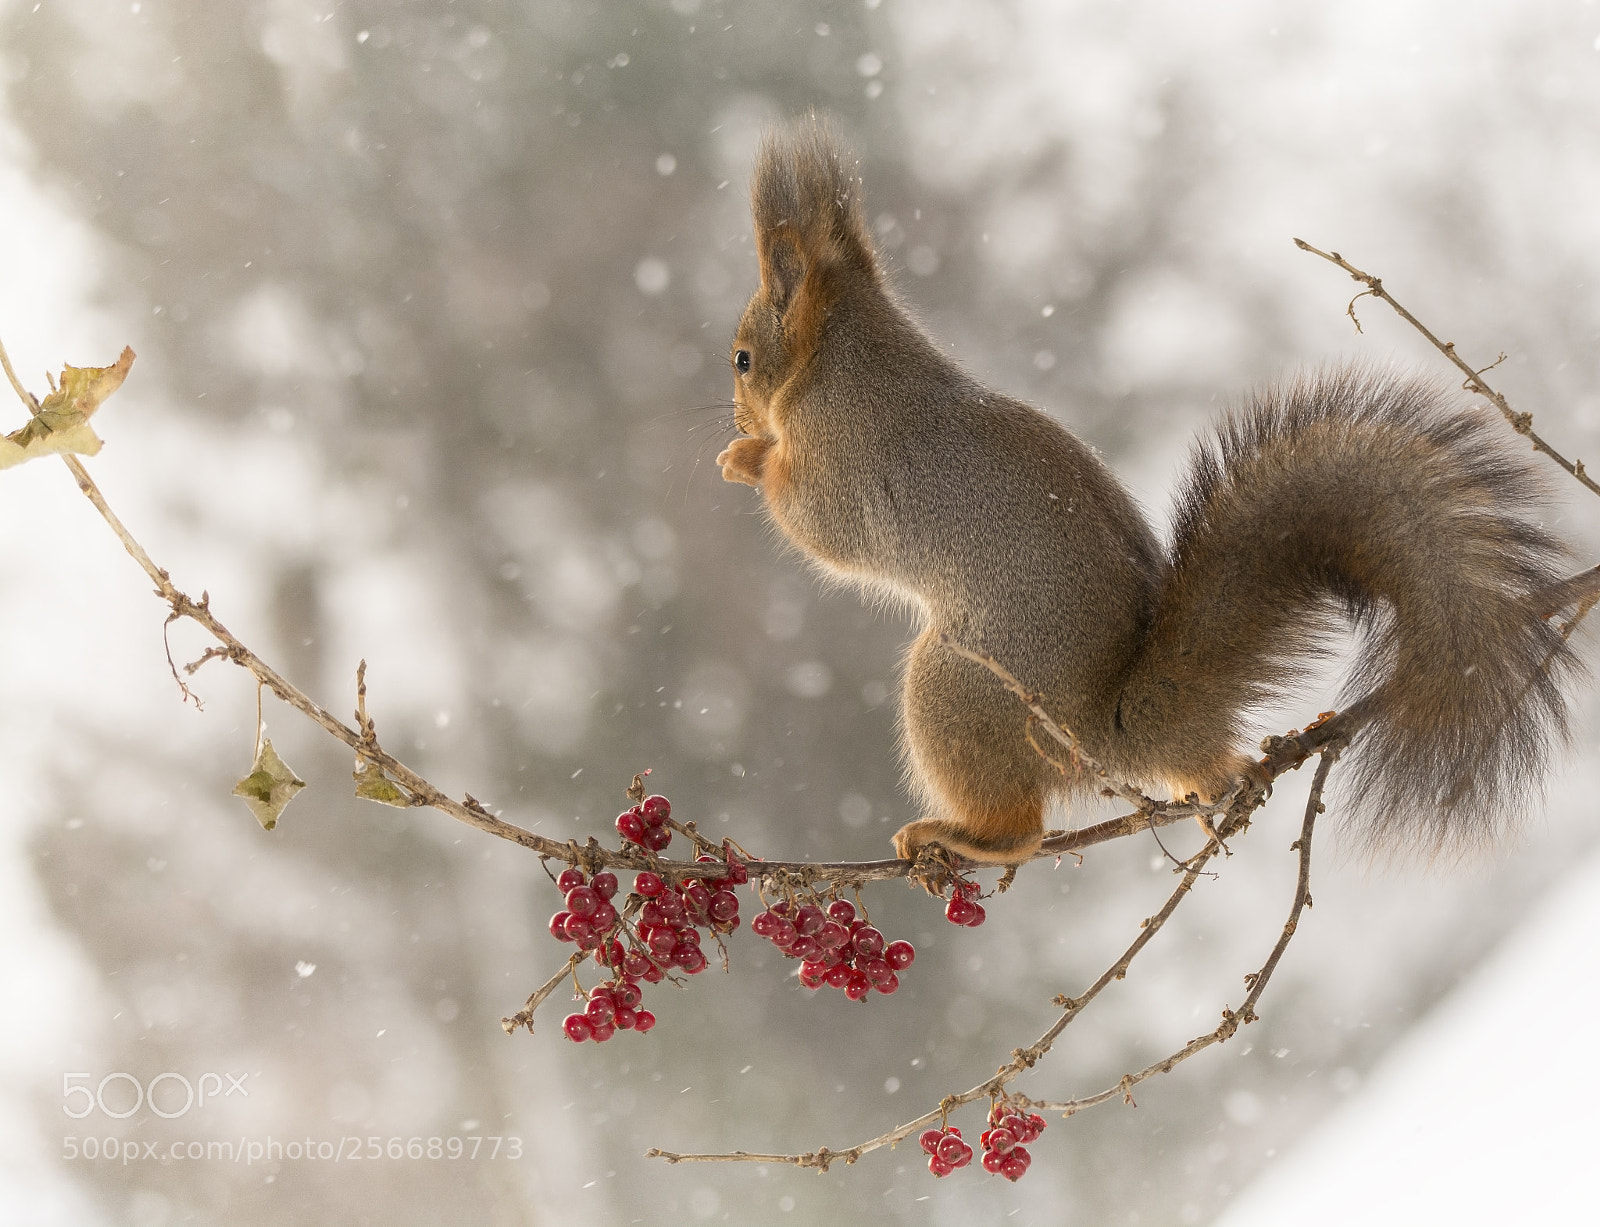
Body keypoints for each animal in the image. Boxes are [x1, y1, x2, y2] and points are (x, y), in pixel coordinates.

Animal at [717, 118, 1591, 866]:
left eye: (742, 359)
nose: (736, 413)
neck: (843, 362)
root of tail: (1110, 732)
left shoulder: (849, 459)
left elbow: (822, 528)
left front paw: (748, 457)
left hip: (957, 688)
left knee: (1021, 830)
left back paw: (961, 834)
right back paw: (1214, 780)